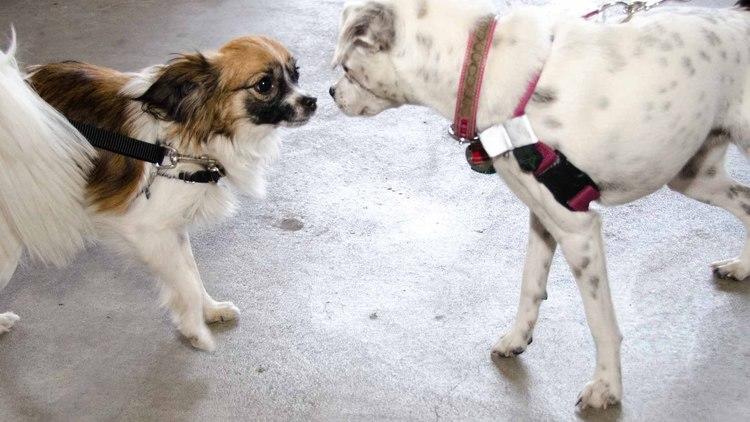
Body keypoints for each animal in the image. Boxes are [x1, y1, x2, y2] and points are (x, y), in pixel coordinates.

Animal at [0, 33, 318, 352]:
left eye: (296, 73)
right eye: (264, 84)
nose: (312, 101)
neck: (187, 140)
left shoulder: (173, 227)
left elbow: (192, 273)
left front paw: (211, 310)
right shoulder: (148, 231)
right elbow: (186, 283)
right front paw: (195, 331)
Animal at [332, 0, 750, 410]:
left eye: (348, 67)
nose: (332, 92)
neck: (481, 65)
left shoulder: (577, 230)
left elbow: (601, 323)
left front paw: (606, 388)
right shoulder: (543, 216)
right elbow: (530, 282)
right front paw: (517, 337)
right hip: (693, 176)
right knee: (745, 202)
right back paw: (741, 267)